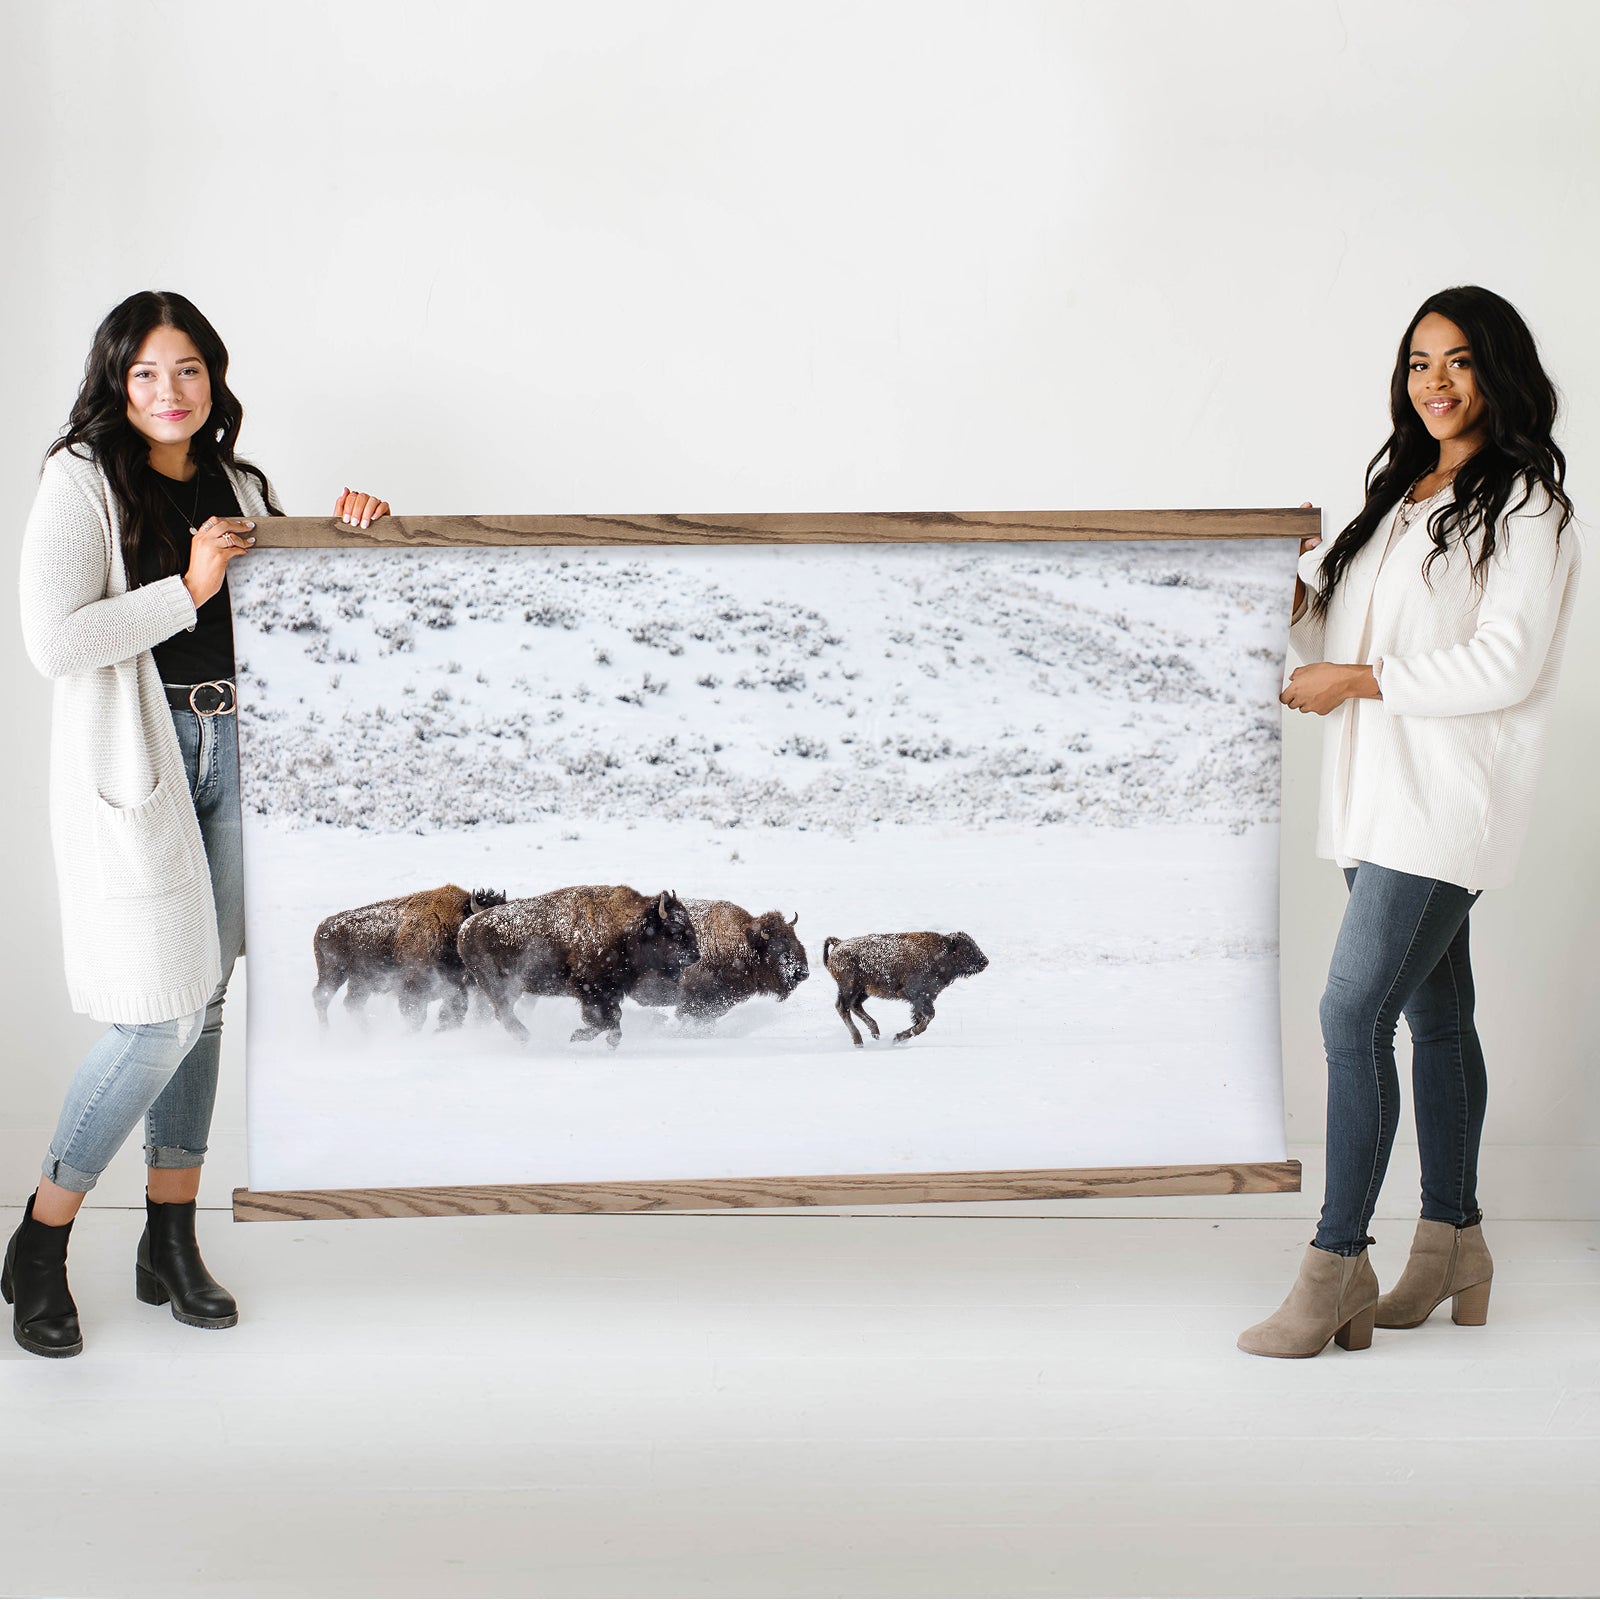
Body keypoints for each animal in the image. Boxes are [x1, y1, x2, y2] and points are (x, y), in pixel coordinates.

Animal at [312, 883, 505, 1030]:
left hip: (360, 981)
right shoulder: (413, 988)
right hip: (333, 973)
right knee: (322, 998)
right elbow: (416, 1015)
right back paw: (326, 1034)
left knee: (352, 1004)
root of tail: (324, 925)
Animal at [454, 889, 697, 1049]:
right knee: (502, 1010)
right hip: (497, 983)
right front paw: (579, 1036)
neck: (628, 929)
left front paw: (608, 1041)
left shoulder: (611, 991)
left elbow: (613, 1018)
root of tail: (466, 928)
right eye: (675, 929)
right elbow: (604, 1019)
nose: (696, 955)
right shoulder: (591, 988)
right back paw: (525, 1037)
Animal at [825, 928, 985, 1049]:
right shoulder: (919, 997)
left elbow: (921, 1019)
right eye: (967, 948)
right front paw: (897, 1037)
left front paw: (899, 1038)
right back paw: (859, 1041)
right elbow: (926, 1019)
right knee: (843, 1007)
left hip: (863, 990)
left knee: (855, 1006)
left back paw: (875, 1033)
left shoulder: (923, 1000)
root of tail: (839, 944)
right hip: (850, 987)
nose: (985, 961)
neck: (943, 952)